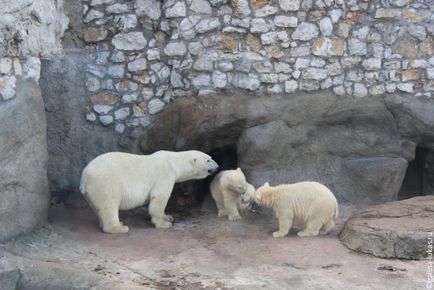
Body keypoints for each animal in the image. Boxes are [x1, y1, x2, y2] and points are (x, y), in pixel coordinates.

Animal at [79, 150, 219, 233]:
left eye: (211, 157)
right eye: (208, 160)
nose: (217, 167)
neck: (174, 162)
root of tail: (84, 177)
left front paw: (168, 217)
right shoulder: (164, 174)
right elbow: (159, 197)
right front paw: (164, 224)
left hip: (91, 192)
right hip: (105, 182)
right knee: (109, 204)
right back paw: (119, 227)